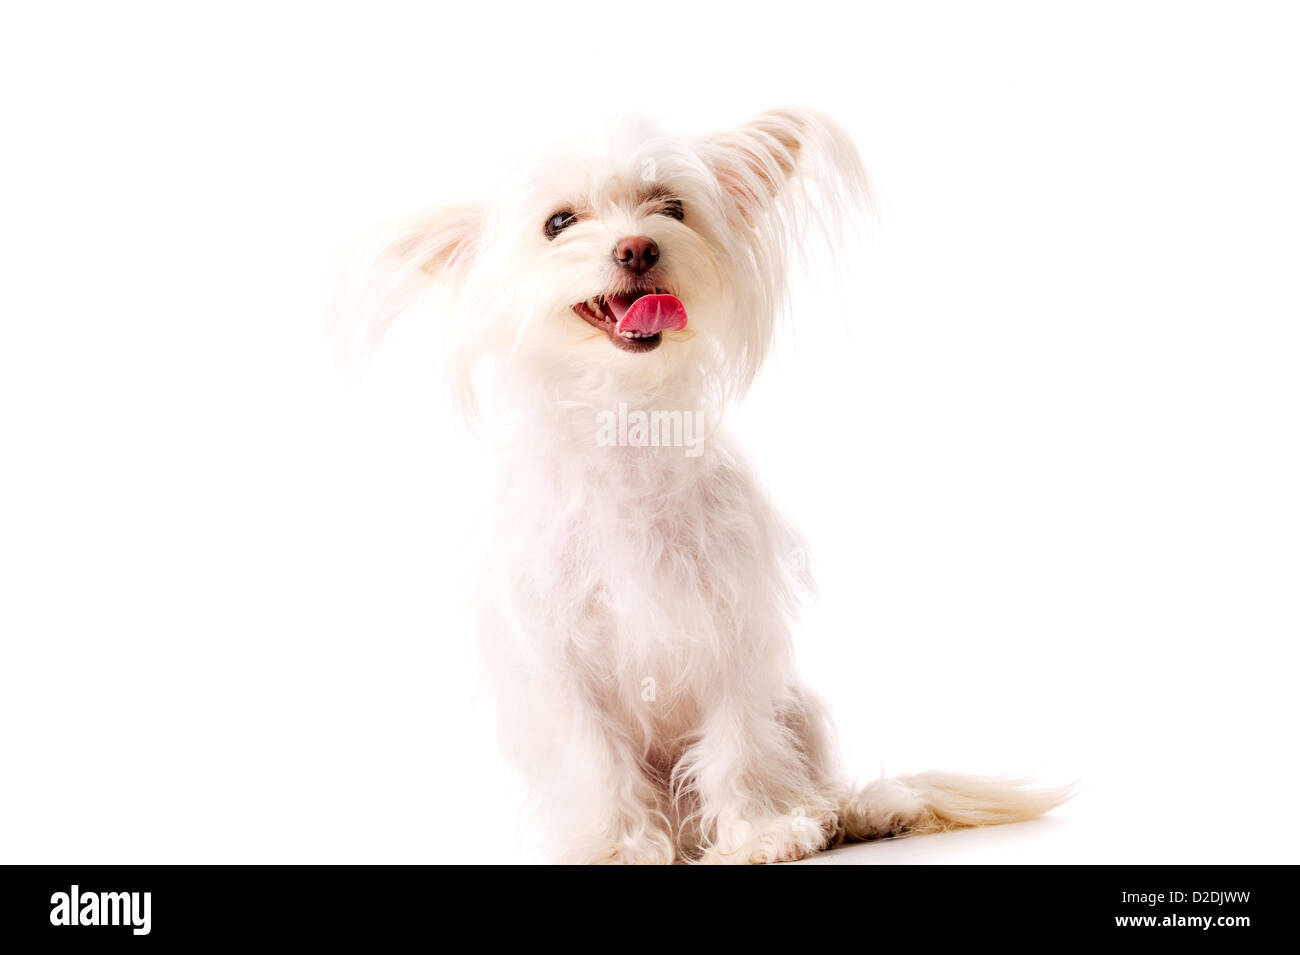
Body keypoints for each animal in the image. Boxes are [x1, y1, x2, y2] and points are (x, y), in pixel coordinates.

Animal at [340, 106, 1071, 867]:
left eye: (672, 209)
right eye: (557, 223)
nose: (637, 248)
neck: (627, 423)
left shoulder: (733, 625)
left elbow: (739, 743)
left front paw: (761, 831)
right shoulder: (558, 655)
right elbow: (593, 754)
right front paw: (619, 845)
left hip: (799, 706)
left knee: (814, 778)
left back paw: (860, 811)